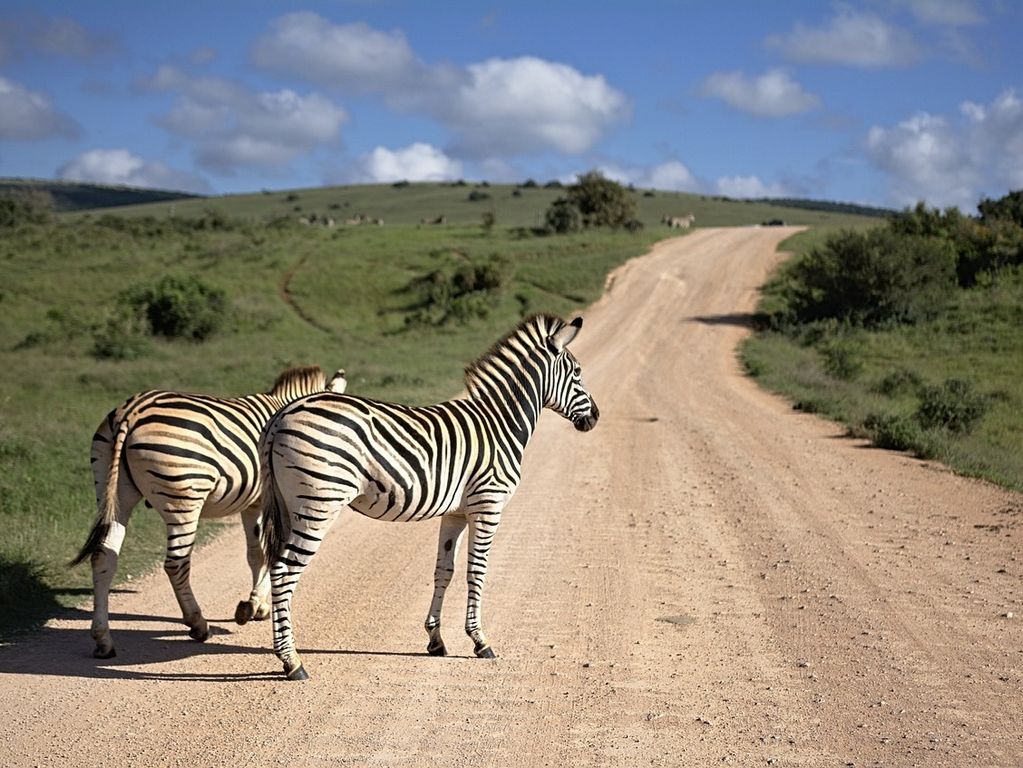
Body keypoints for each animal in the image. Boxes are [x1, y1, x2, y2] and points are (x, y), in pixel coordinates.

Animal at [71, 364, 347, 658]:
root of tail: (131, 411)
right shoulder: (270, 501)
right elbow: (270, 553)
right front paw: (254, 605)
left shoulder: (253, 503)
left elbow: (256, 554)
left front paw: (256, 606)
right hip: (183, 498)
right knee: (176, 564)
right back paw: (198, 624)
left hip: (113, 492)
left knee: (103, 557)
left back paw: (103, 640)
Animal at [257, 312, 597, 679]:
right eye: (578, 373)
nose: (595, 417)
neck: (500, 424)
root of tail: (281, 415)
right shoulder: (488, 505)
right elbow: (477, 571)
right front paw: (480, 641)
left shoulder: (456, 512)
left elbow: (444, 570)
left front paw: (436, 640)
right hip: (319, 504)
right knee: (284, 571)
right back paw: (292, 661)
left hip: (290, 506)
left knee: (276, 566)